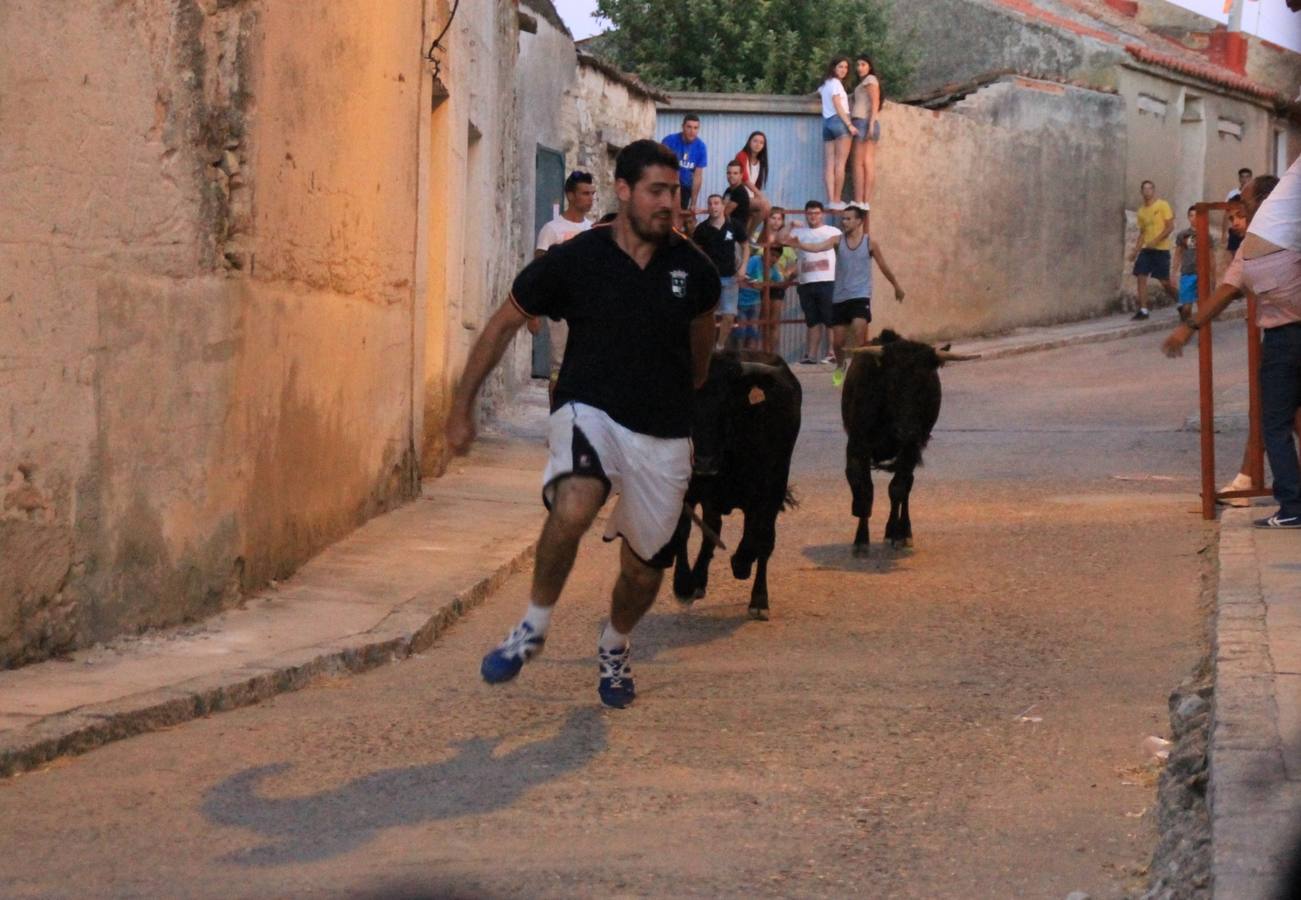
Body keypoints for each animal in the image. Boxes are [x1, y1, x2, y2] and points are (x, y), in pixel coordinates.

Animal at [671, 348, 801, 619]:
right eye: (688, 405)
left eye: (726, 405)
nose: (704, 462)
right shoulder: (689, 489)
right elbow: (683, 531)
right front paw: (683, 585)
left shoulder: (769, 490)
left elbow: (762, 537)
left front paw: (756, 592)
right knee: (712, 530)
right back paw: (699, 580)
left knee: (759, 535)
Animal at [843, 330, 978, 556]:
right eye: (892, 383)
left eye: (925, 387)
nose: (908, 431)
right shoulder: (857, 445)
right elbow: (863, 488)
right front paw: (861, 540)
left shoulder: (911, 449)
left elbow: (897, 488)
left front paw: (896, 533)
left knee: (905, 486)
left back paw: (901, 532)